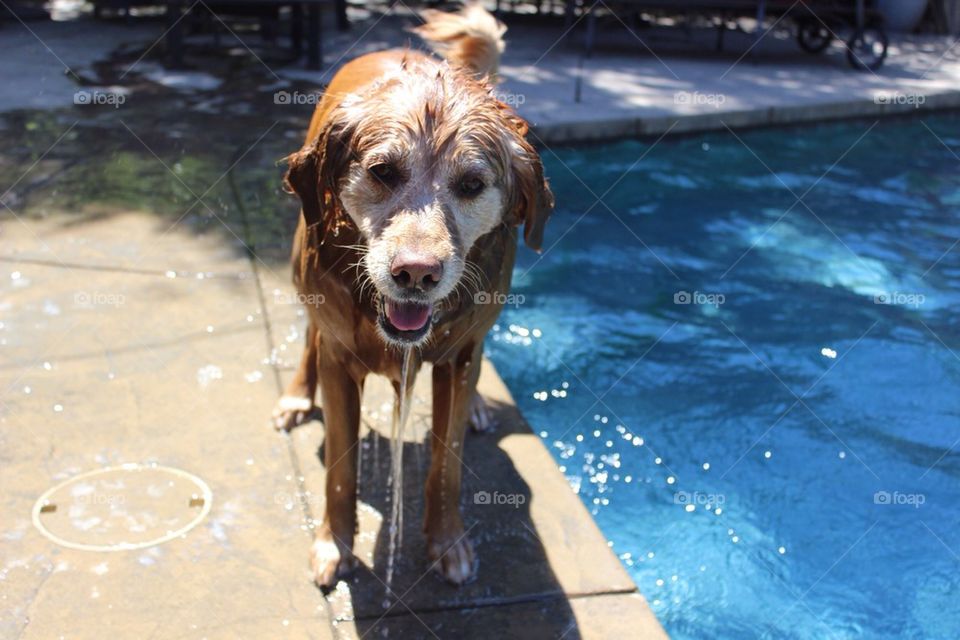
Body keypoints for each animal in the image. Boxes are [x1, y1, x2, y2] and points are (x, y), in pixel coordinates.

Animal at [274, 2, 552, 592]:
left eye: (471, 185)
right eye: (383, 172)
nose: (416, 274)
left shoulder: (456, 357)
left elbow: (445, 465)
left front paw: (448, 543)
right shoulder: (339, 360)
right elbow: (340, 470)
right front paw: (334, 545)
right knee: (309, 335)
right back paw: (295, 396)